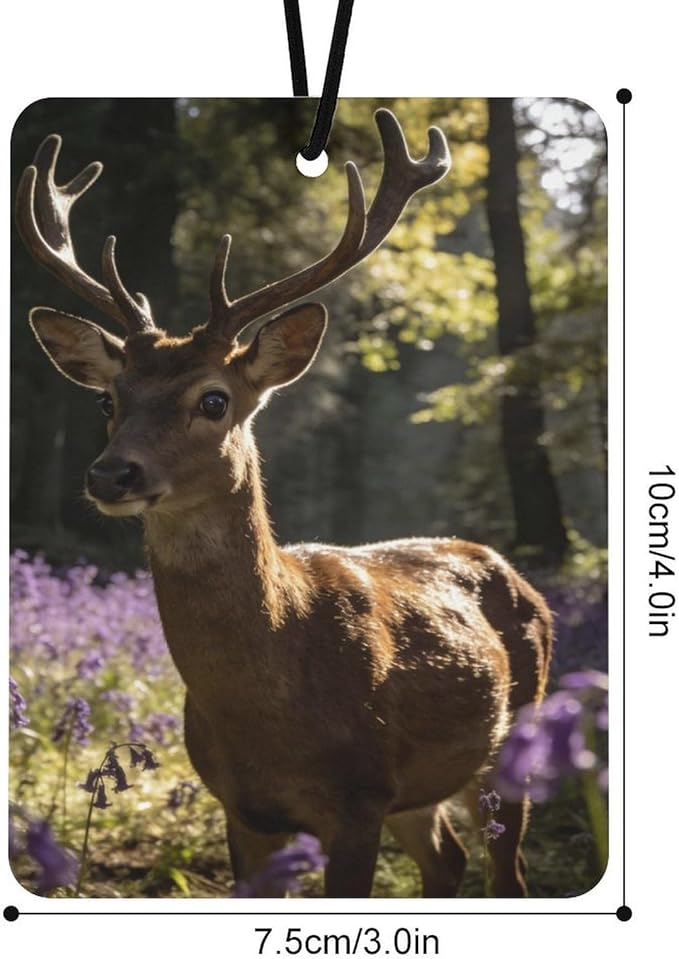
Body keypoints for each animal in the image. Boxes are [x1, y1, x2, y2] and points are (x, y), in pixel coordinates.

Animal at [16, 109, 552, 898]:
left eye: (213, 399)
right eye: (109, 399)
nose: (111, 474)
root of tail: (514, 574)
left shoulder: (359, 796)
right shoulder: (243, 809)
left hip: (518, 737)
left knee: (506, 871)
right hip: (418, 792)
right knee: (447, 859)